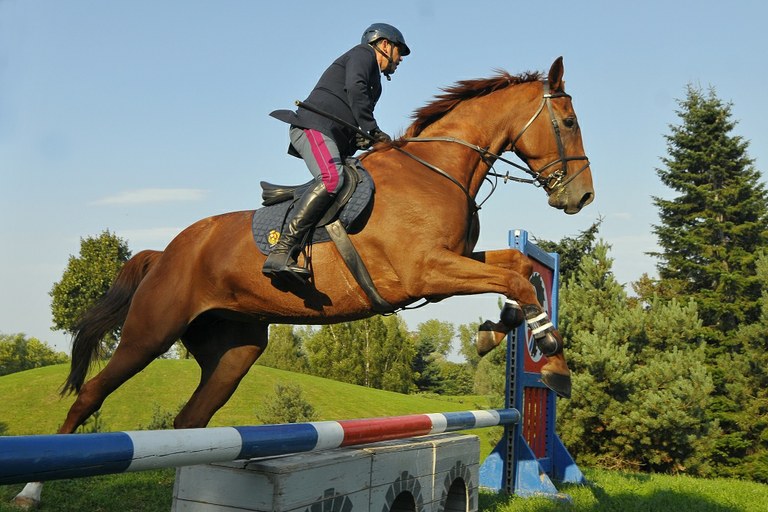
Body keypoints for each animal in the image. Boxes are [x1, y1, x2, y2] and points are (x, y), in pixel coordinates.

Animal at [15, 55, 596, 508]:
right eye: (568, 120)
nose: (582, 197)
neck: (438, 169)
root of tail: (167, 253)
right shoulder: (426, 270)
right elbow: (515, 279)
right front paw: (550, 356)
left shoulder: (451, 261)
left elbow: (520, 270)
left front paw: (501, 334)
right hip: (150, 332)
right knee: (91, 394)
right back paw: (29, 490)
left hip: (234, 349)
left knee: (190, 419)